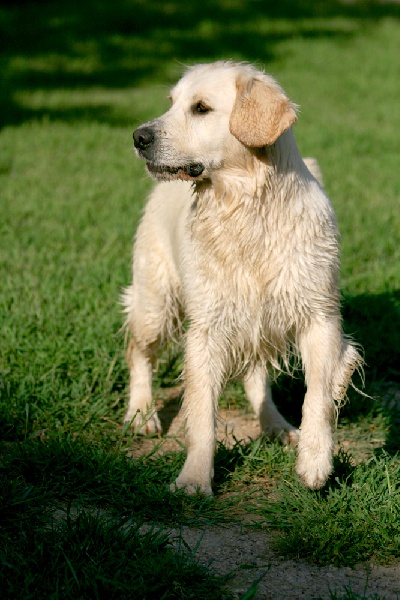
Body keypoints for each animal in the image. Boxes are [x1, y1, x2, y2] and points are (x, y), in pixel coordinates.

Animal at [122, 61, 362, 494]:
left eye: (201, 108)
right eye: (171, 102)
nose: (138, 137)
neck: (247, 208)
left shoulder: (319, 316)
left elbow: (318, 393)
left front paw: (315, 461)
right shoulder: (207, 327)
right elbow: (202, 413)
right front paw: (194, 479)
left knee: (257, 379)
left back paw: (277, 426)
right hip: (156, 302)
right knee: (138, 352)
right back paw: (141, 414)